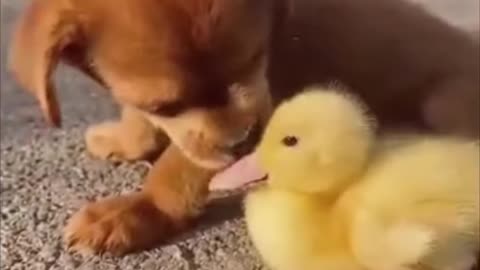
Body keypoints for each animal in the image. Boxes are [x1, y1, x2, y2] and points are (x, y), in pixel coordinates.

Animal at [9, 0, 478, 254]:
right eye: (165, 104)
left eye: (255, 58)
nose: (244, 141)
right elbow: (140, 119)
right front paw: (125, 140)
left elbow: (176, 170)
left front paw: (140, 210)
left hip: (442, 104)